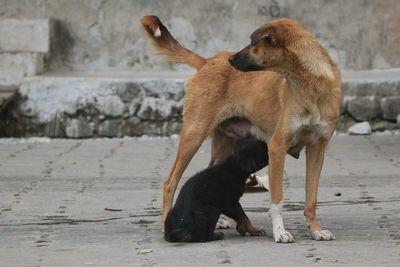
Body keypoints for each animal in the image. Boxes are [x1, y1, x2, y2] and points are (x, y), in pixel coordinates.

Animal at [141, 15, 340, 244]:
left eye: (254, 43)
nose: (231, 59)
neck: (310, 85)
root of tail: (207, 61)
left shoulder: (318, 149)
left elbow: (311, 198)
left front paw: (315, 230)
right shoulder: (277, 146)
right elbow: (277, 199)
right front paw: (280, 232)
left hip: (223, 144)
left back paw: (218, 220)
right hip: (193, 134)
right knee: (170, 182)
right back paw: (167, 225)